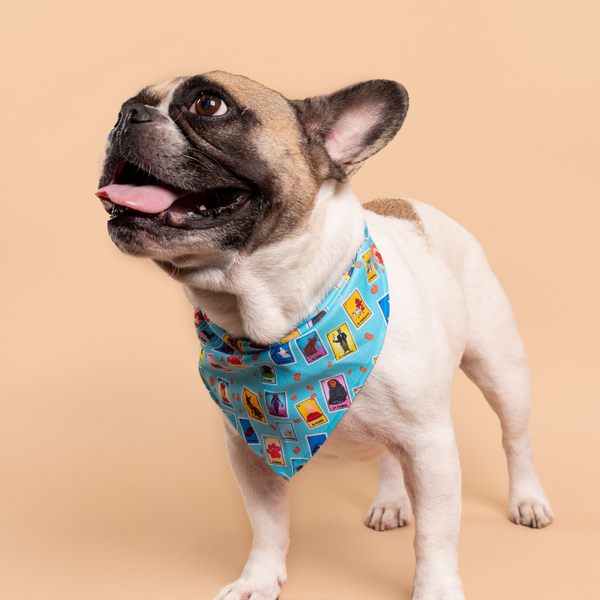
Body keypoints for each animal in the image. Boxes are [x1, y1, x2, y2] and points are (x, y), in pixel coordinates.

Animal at [95, 71, 552, 600]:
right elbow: (267, 523)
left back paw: (528, 500)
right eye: (133, 102)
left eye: (209, 105)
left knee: (515, 438)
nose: (125, 114)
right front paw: (258, 579)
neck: (277, 325)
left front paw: (436, 589)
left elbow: (435, 535)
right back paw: (392, 501)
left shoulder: (430, 444)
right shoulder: (251, 449)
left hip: (501, 369)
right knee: (388, 457)